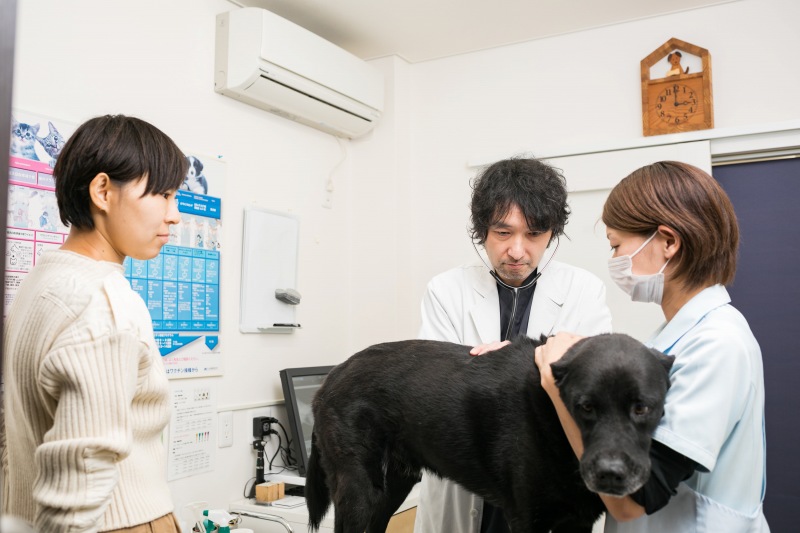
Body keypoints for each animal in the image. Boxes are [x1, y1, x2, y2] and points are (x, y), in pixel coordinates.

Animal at [306, 334, 676, 528]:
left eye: (641, 408)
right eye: (585, 407)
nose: (610, 474)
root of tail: (331, 377)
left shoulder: (578, 521)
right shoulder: (527, 519)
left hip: (392, 486)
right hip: (359, 491)